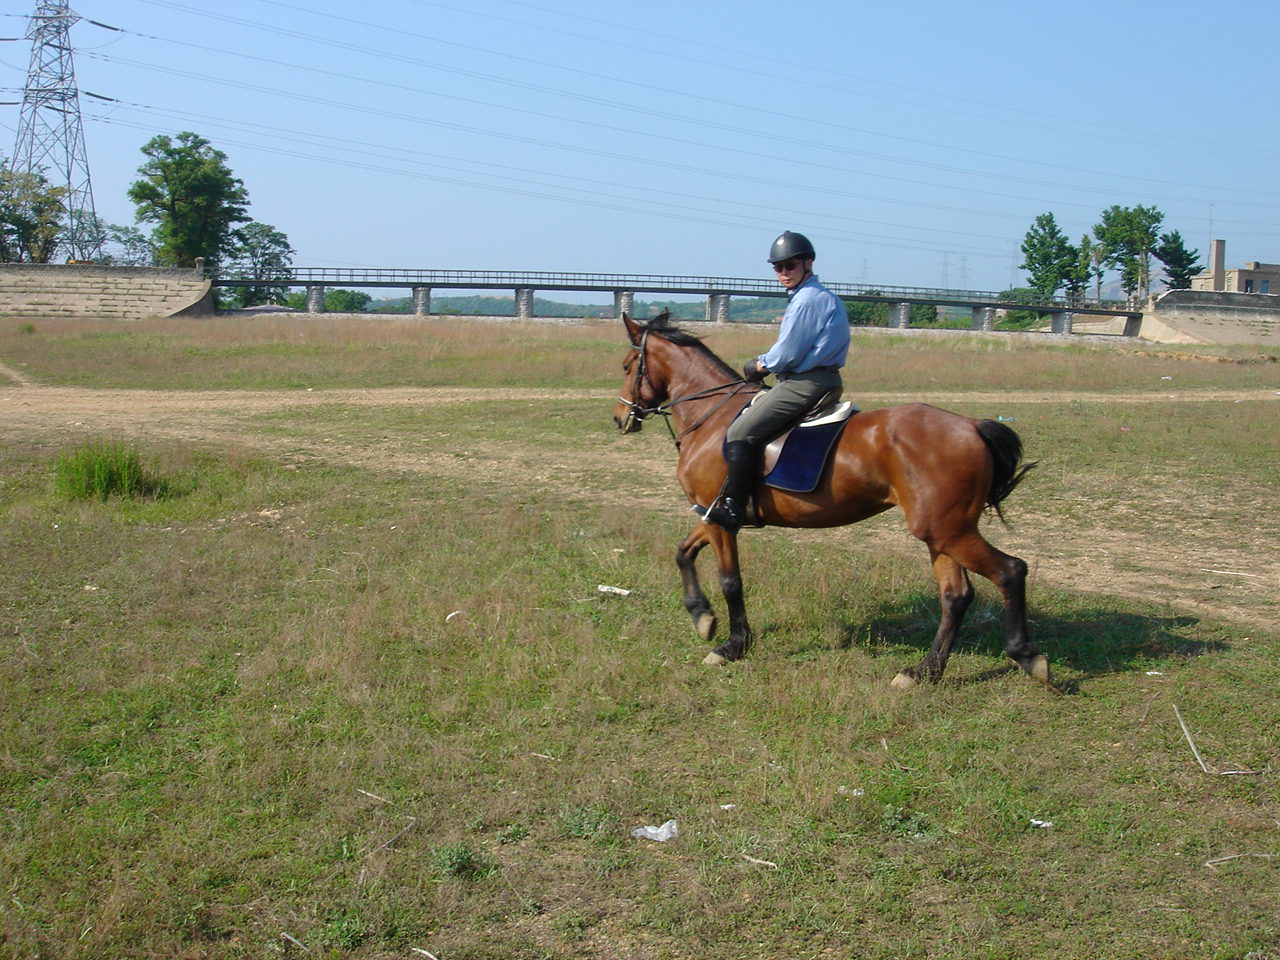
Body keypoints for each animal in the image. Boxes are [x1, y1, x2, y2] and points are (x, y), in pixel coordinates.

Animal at [611, 312, 1049, 686]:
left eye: (628, 366)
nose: (620, 418)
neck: (713, 416)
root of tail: (972, 427)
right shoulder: (713, 513)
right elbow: (683, 552)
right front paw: (701, 616)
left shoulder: (723, 520)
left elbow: (731, 581)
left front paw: (733, 646)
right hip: (941, 534)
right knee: (955, 596)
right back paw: (924, 671)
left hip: (947, 530)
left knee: (1011, 570)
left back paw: (1028, 657)